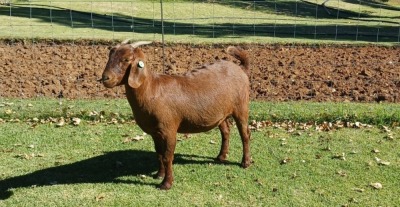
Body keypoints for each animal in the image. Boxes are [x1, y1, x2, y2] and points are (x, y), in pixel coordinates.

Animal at [100, 41, 250, 190]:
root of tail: (241, 68)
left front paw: (166, 183)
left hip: (241, 106)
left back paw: (245, 162)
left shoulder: (169, 129)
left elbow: (167, 157)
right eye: (109, 56)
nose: (105, 78)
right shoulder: (155, 132)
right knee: (226, 131)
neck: (152, 90)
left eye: (126, 59)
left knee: (245, 134)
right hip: (221, 113)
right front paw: (159, 175)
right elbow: (159, 154)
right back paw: (221, 157)